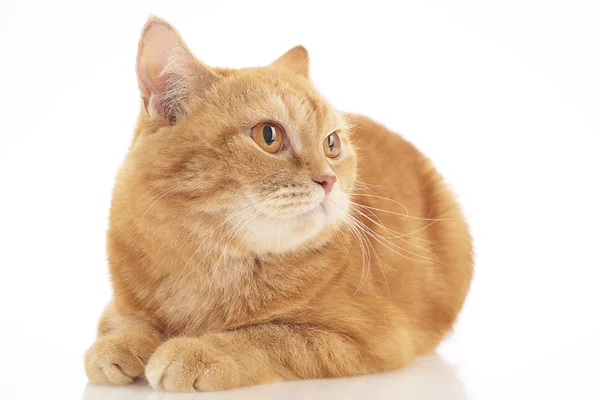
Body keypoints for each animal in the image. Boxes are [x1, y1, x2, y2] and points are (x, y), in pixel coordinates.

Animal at [84, 16, 476, 390]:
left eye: (331, 144)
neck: (207, 261)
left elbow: (266, 337)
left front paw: (198, 350)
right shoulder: (118, 303)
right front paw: (120, 344)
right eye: (269, 136)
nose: (328, 180)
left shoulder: (366, 338)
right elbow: (125, 321)